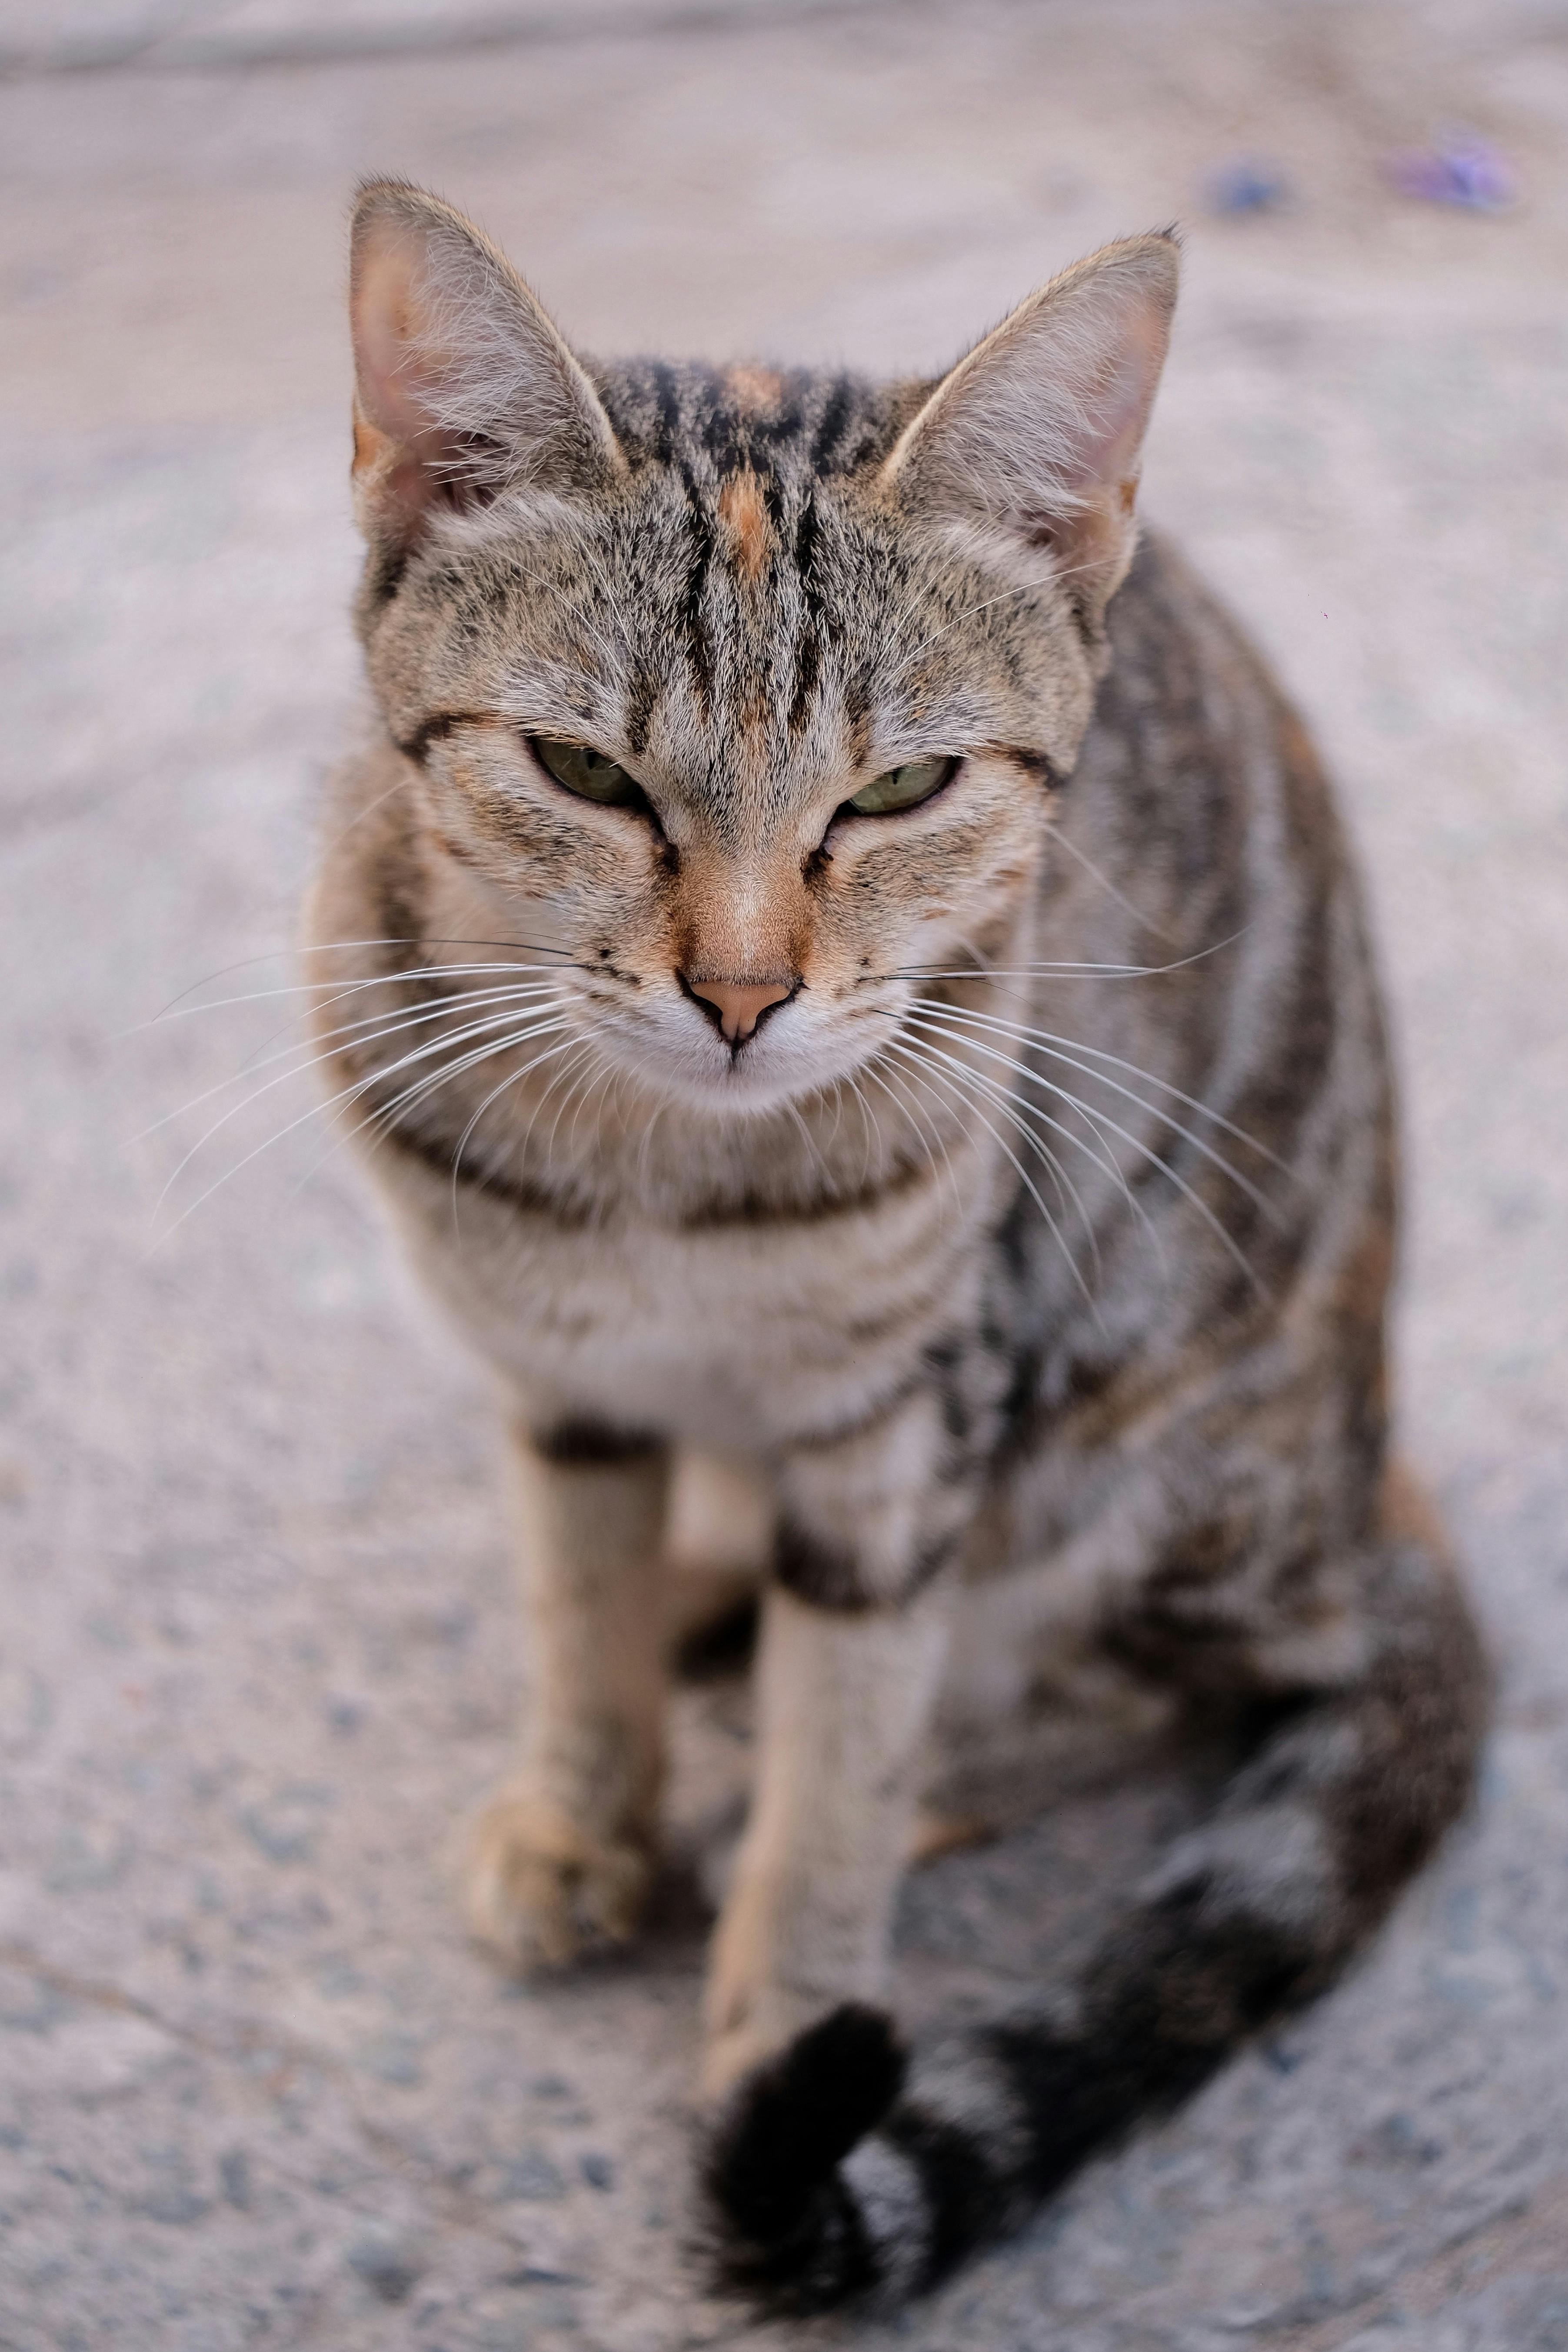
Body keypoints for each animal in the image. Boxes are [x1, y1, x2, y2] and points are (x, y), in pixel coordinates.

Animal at [303, 183, 1485, 2314]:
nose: (741, 995)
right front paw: (584, 1802)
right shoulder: (558, 1375)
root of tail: (1371, 1491)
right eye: (583, 773)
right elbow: (572, 1606)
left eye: (901, 788)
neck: (662, 1180)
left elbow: (836, 1768)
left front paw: (781, 2016)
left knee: (1144, 1677)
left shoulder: (913, 1421)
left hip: (1138, 1440)